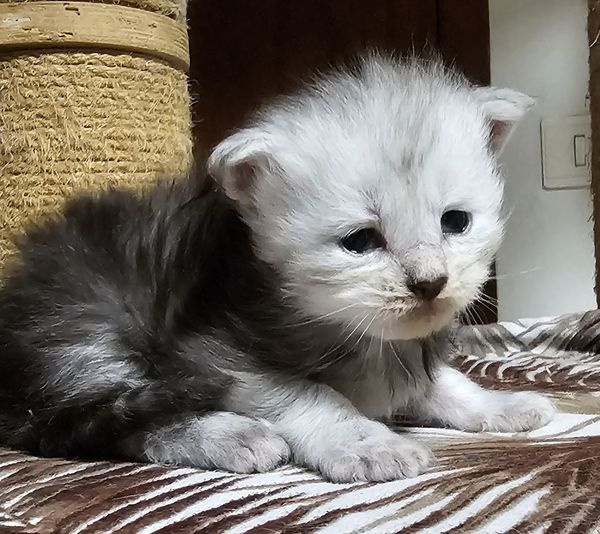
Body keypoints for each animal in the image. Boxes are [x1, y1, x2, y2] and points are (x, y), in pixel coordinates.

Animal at [0, 55, 552, 486]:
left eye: (456, 222)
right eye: (360, 242)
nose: (430, 283)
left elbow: (442, 382)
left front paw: (496, 405)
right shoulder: (213, 351)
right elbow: (310, 394)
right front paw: (364, 440)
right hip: (87, 334)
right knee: (104, 426)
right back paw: (228, 434)